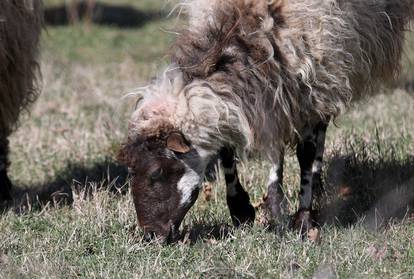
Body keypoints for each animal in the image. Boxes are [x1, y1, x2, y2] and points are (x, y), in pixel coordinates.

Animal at [117, 0, 414, 243]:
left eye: (157, 172)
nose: (150, 236)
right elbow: (229, 148)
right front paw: (242, 209)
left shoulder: (313, 72)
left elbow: (305, 154)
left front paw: (302, 221)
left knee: (318, 133)